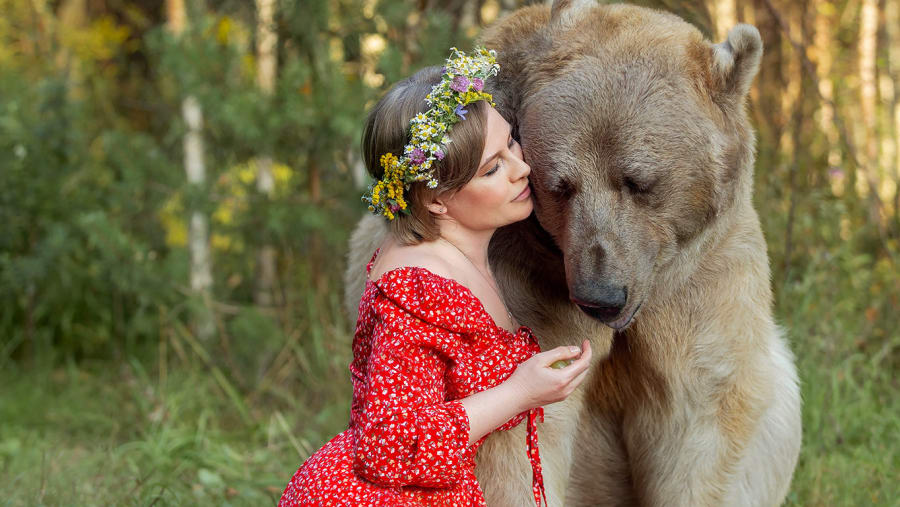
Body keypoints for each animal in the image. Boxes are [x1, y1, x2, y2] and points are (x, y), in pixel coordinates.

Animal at [344, 1, 802, 505]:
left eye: (638, 182)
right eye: (559, 185)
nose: (600, 296)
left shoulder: (702, 277)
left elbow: (700, 414)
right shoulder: (522, 278)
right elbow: (516, 438)